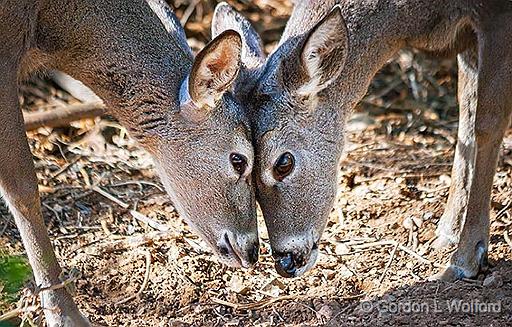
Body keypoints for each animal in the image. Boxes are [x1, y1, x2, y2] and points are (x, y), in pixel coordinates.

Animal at [214, 0, 512, 280]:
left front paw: (465, 258)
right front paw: (448, 232)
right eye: (243, 166)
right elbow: (467, 116)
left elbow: (486, 123)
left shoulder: (497, 18)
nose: (285, 263)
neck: (415, 16)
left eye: (283, 163)